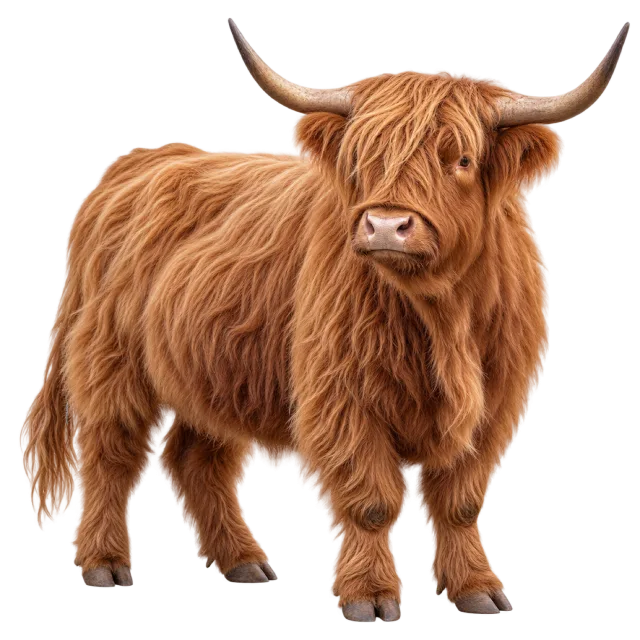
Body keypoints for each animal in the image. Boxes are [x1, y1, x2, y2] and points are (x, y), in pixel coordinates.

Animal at [19, 17, 630, 621]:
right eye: (359, 160)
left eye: (460, 159)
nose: (385, 226)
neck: (441, 313)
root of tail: (141, 161)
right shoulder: (344, 395)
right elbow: (371, 501)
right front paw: (371, 597)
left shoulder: (494, 404)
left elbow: (459, 502)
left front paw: (477, 591)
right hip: (112, 356)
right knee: (110, 452)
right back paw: (105, 565)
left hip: (214, 367)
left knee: (199, 458)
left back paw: (245, 562)